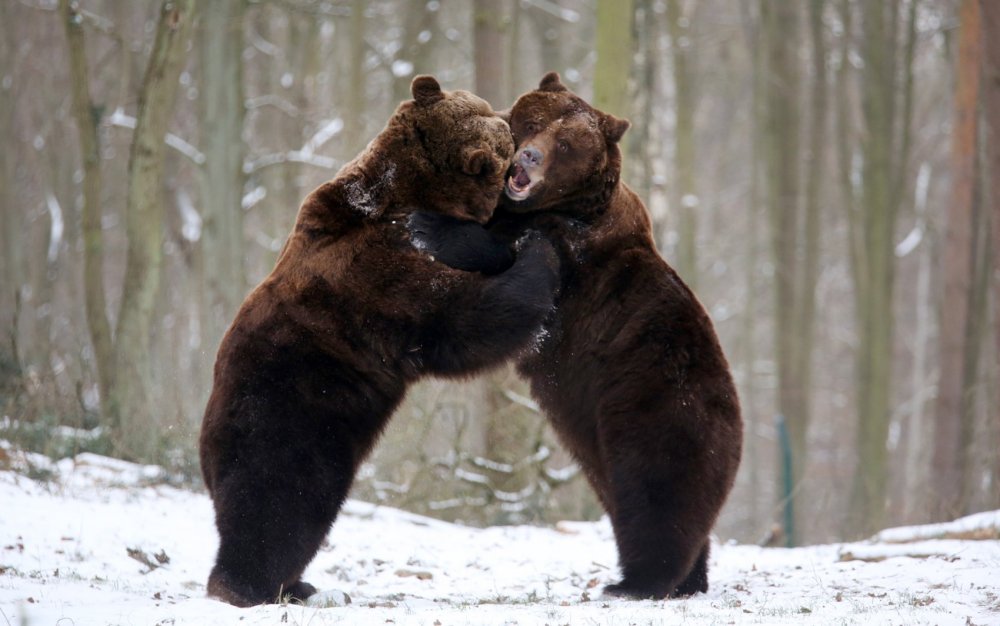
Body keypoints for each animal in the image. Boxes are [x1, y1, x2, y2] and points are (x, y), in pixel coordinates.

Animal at [201, 73, 564, 604]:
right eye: (505, 131)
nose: (516, 122)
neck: (409, 193)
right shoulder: (380, 278)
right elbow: (463, 318)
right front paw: (539, 253)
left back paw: (298, 584)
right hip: (288, 422)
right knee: (276, 511)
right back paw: (248, 586)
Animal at [406, 70, 744, 596]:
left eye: (565, 144)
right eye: (532, 121)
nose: (528, 157)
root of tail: (736, 428)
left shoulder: (571, 251)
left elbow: (503, 254)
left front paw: (427, 224)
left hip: (659, 413)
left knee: (654, 501)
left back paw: (637, 581)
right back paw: (690, 580)